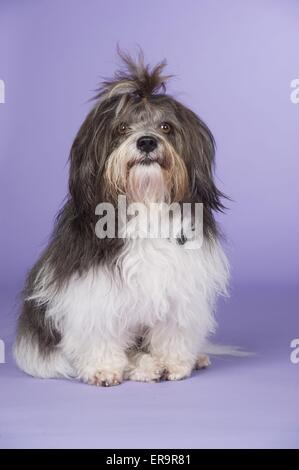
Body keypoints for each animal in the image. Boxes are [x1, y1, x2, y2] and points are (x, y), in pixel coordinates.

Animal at [13, 51, 230, 386]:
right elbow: (99, 330)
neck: (145, 204)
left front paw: (174, 363)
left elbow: (172, 330)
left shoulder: (179, 285)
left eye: (166, 127)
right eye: (122, 128)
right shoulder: (91, 287)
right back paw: (140, 366)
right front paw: (103, 368)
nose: (146, 142)